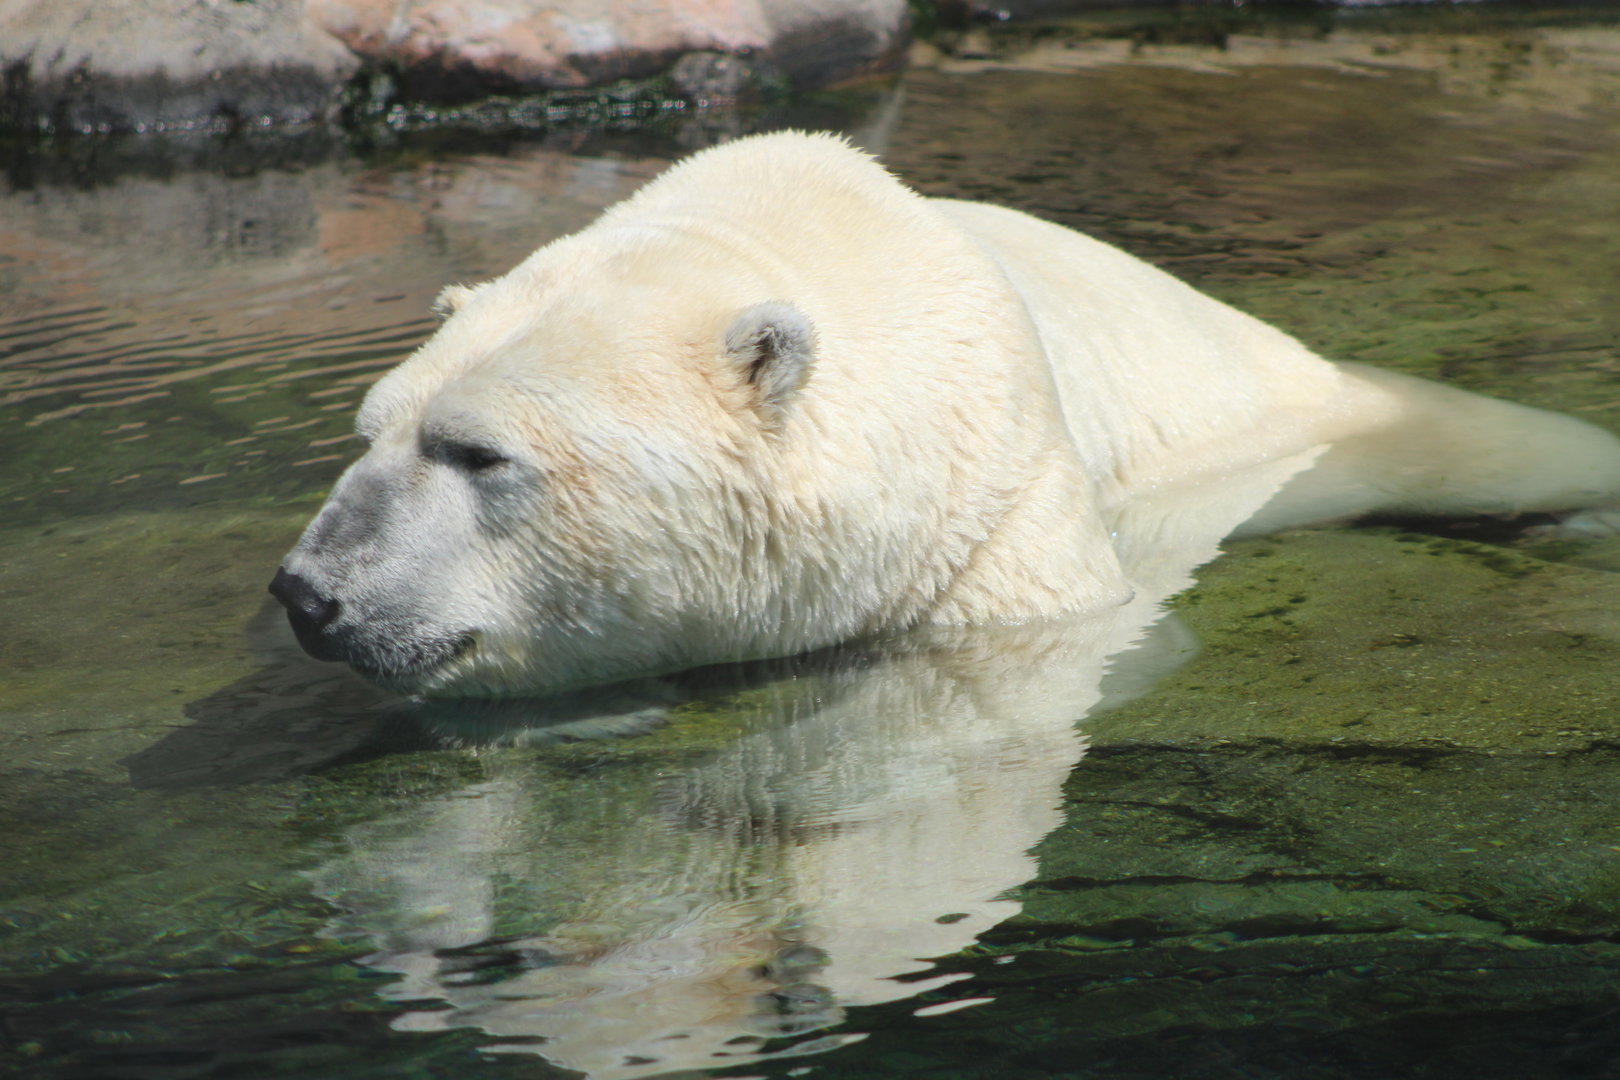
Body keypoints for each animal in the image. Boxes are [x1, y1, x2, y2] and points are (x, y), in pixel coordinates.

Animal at [269, 130, 1620, 699]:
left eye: (476, 451)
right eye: (369, 433)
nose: (308, 594)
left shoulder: (995, 507)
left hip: (1301, 410)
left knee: (1495, 446)